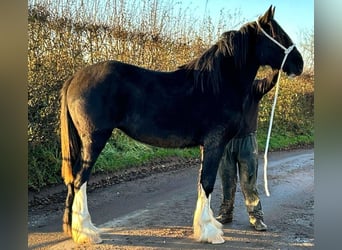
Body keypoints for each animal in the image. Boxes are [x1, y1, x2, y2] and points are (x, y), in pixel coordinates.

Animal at [60, 5, 302, 244]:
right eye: (278, 34)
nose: (299, 63)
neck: (219, 83)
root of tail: (74, 78)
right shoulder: (215, 143)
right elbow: (207, 182)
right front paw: (210, 232)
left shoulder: (208, 145)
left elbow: (202, 182)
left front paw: (205, 226)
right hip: (95, 140)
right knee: (80, 180)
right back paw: (87, 233)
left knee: (73, 180)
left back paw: (73, 229)